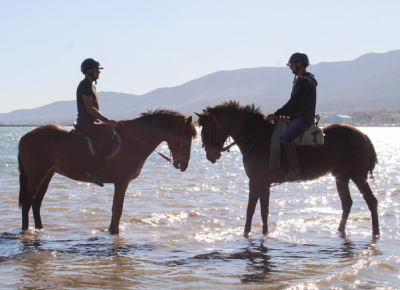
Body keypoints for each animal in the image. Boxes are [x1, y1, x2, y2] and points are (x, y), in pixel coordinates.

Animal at [18, 108, 197, 233]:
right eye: (186, 137)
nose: (184, 165)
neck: (134, 140)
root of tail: (24, 136)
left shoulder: (120, 183)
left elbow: (115, 209)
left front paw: (111, 230)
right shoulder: (122, 182)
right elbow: (117, 209)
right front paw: (115, 232)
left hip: (47, 174)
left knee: (36, 203)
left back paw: (40, 229)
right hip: (35, 176)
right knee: (27, 202)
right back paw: (25, 230)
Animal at [195, 101, 380, 237]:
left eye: (208, 127)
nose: (210, 155)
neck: (256, 137)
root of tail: (363, 134)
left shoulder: (263, 183)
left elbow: (263, 211)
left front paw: (265, 234)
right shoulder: (253, 182)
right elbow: (250, 210)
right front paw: (246, 234)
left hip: (357, 175)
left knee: (371, 201)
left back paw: (376, 232)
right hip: (341, 175)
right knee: (347, 202)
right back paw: (340, 230)